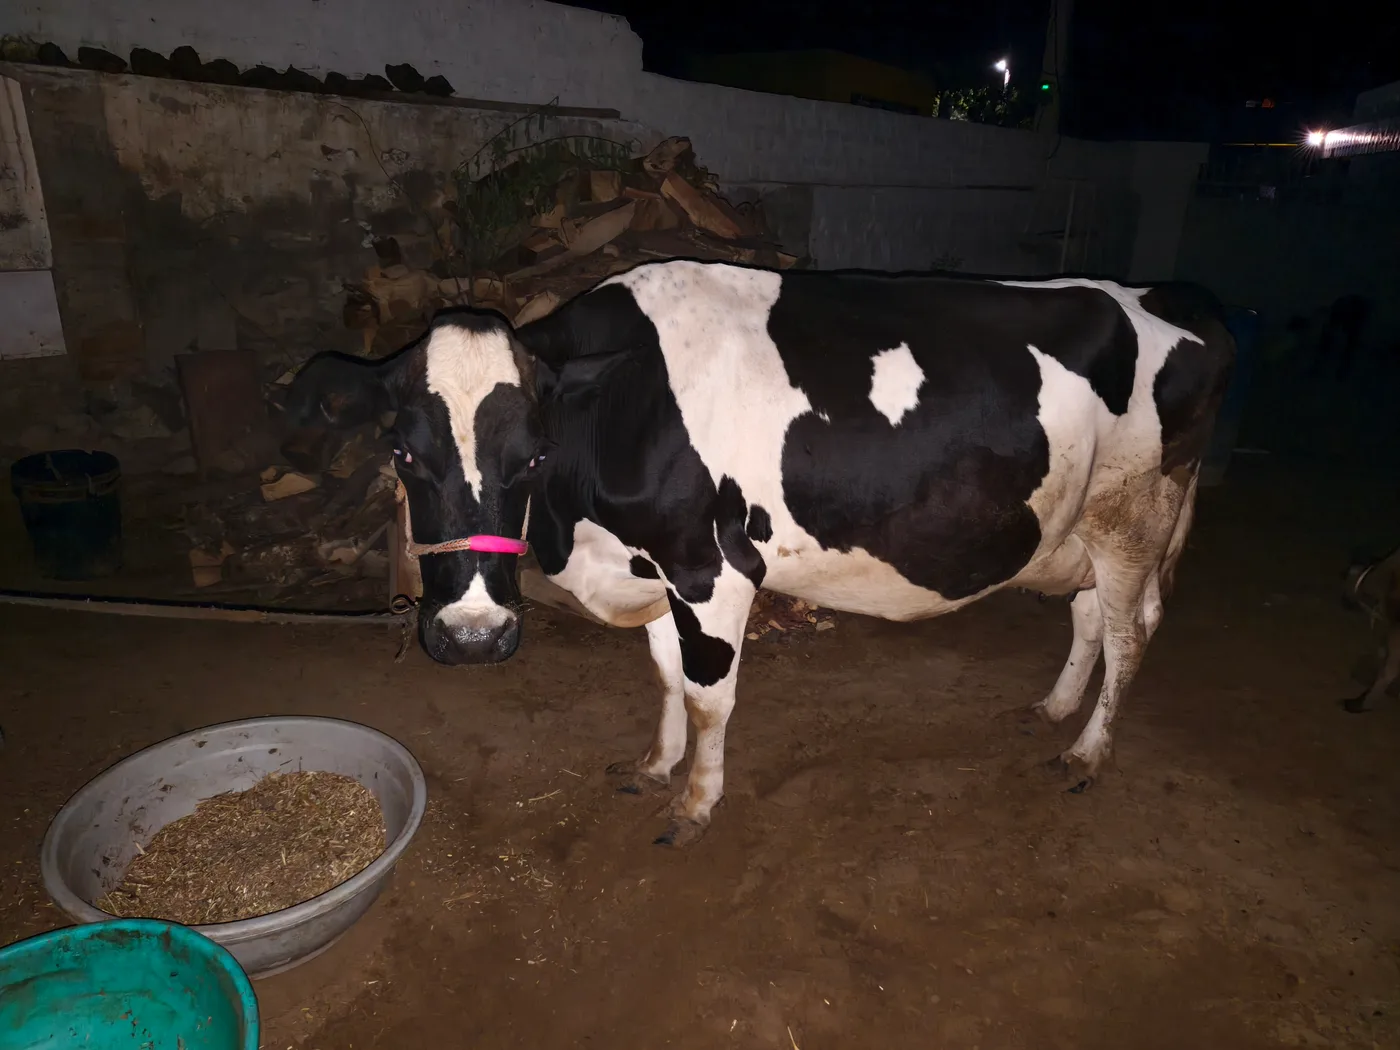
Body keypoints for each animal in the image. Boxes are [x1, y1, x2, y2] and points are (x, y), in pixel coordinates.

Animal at [284, 260, 1235, 846]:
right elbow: (666, 676)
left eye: (531, 456)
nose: (474, 635)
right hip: (1077, 523)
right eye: (404, 453)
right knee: (1088, 616)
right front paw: (653, 766)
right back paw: (1056, 708)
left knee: (1131, 632)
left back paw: (1088, 753)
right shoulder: (651, 566)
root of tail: (1170, 297)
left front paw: (696, 802)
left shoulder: (711, 569)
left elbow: (709, 696)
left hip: (1136, 513)